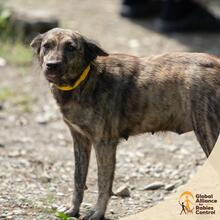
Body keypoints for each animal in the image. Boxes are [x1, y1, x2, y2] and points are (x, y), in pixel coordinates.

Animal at [31, 28, 220, 219]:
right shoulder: (80, 140)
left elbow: (103, 184)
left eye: (70, 47)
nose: (52, 65)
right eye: (47, 46)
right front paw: (73, 209)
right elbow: (78, 179)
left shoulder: (104, 144)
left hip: (208, 136)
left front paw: (98, 212)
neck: (86, 81)